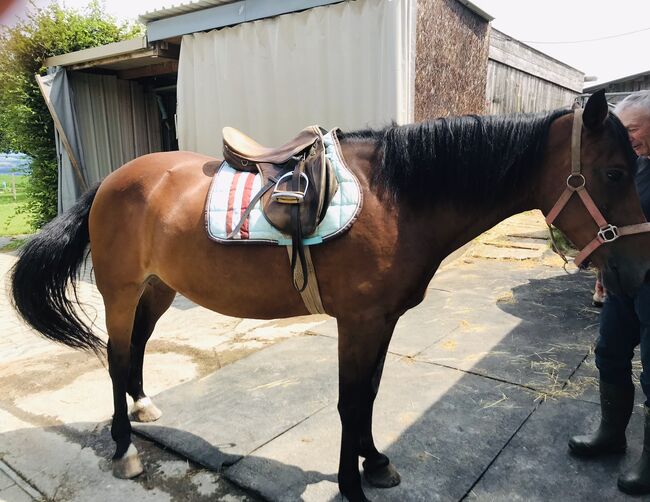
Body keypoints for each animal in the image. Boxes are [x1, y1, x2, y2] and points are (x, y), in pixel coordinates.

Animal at [8, 90, 648, 502]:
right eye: (616, 173)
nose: (637, 271)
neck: (397, 197)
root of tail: (112, 180)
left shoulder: (381, 321)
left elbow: (369, 396)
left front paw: (376, 463)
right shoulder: (357, 321)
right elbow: (348, 401)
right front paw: (351, 483)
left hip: (159, 288)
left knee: (137, 348)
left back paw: (143, 408)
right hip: (119, 290)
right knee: (116, 358)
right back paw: (124, 450)